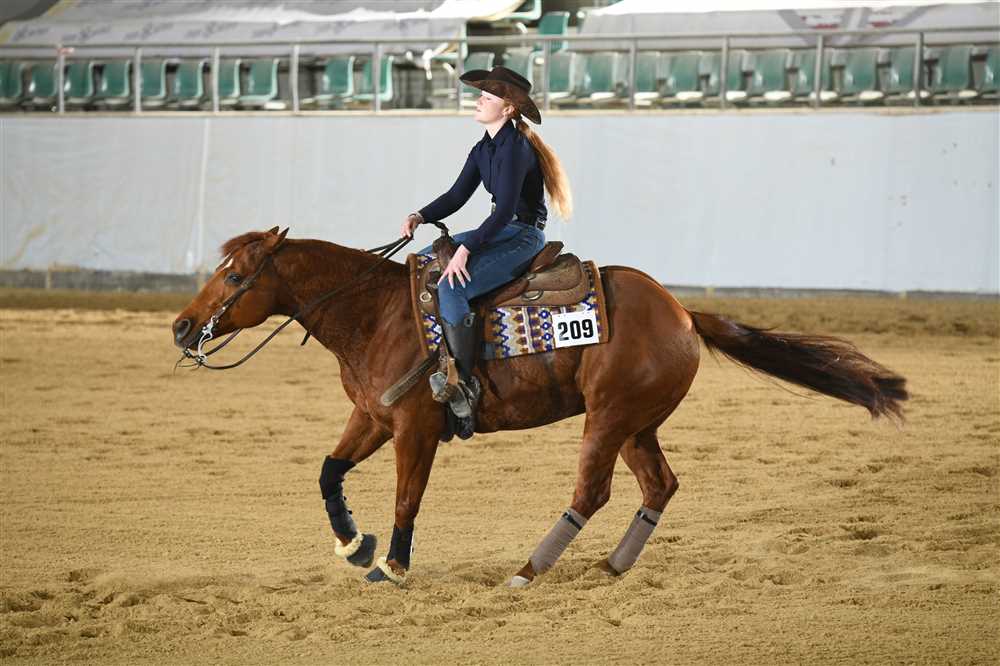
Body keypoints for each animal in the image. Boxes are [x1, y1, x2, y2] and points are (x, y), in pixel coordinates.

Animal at [172, 227, 907, 586]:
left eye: (235, 276)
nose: (182, 328)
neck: (376, 314)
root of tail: (681, 312)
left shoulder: (415, 425)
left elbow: (408, 497)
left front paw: (394, 566)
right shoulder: (373, 416)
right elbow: (328, 472)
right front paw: (354, 544)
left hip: (608, 419)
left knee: (591, 490)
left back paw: (528, 572)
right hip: (636, 424)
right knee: (659, 485)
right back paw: (612, 566)